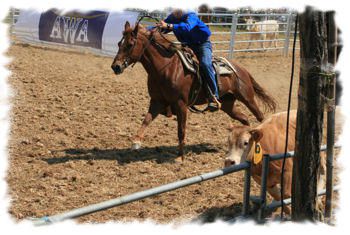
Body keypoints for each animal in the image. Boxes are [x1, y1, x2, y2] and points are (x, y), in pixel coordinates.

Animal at [112, 21, 276, 160]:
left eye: (130, 44)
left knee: (260, 116)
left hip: (247, 98)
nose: (116, 67)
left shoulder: (181, 104)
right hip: (228, 104)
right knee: (244, 118)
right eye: (119, 43)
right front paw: (136, 142)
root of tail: (241, 69)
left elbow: (181, 130)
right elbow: (146, 120)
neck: (165, 68)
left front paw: (180, 157)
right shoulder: (157, 101)